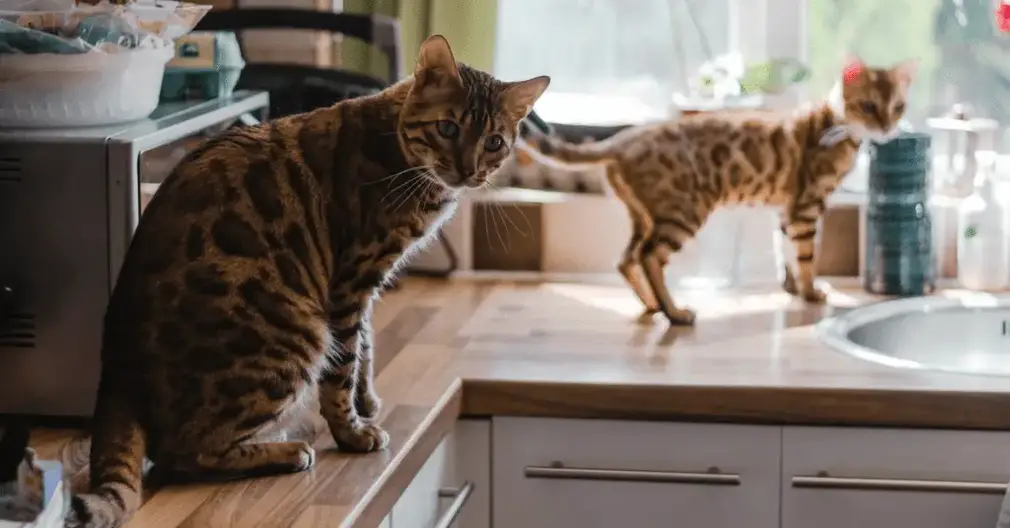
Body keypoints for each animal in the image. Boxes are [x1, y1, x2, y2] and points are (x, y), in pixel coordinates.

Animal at [67, 35, 549, 524]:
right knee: (182, 452)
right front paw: (352, 432)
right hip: (295, 333)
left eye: (494, 142)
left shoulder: (359, 286)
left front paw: (366, 400)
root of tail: (117, 369)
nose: (469, 170)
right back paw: (286, 451)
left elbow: (365, 346)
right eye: (448, 128)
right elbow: (341, 368)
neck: (399, 152)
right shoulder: (352, 278)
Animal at [521, 55, 917, 325]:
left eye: (898, 107)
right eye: (869, 106)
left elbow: (785, 252)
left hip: (644, 215)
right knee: (649, 256)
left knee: (627, 258)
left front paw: (791, 288)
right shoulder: (807, 206)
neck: (836, 126)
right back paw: (674, 312)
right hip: (684, 211)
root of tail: (624, 138)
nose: (887, 129)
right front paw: (810, 292)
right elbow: (806, 256)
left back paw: (652, 305)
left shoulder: (786, 209)